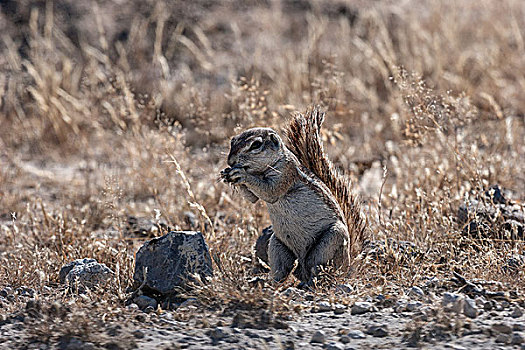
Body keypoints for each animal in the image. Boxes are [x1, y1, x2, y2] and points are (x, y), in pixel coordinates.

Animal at [218, 106, 364, 284]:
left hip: (332, 239)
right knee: (282, 271)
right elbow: (253, 199)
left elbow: (270, 192)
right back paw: (266, 282)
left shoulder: (286, 173)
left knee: (319, 268)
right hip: (277, 244)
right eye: (232, 141)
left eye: (256, 145)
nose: (231, 161)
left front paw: (241, 174)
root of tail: (349, 264)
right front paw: (227, 174)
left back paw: (313, 282)